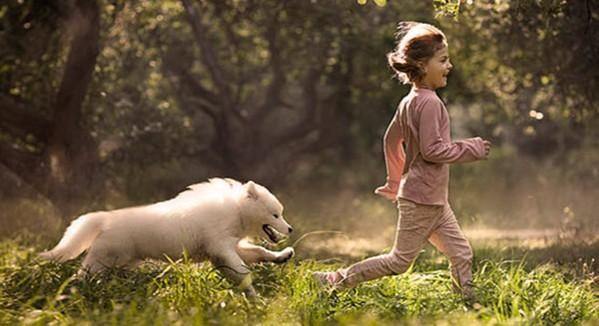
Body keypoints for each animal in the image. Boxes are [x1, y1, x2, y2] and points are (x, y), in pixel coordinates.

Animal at [40, 178, 296, 296]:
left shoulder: (225, 250)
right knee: (80, 276)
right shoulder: (221, 247)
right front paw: (254, 296)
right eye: (275, 214)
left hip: (121, 264)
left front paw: (282, 256)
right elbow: (243, 272)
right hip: (102, 260)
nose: (291, 229)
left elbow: (259, 252)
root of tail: (106, 219)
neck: (236, 211)